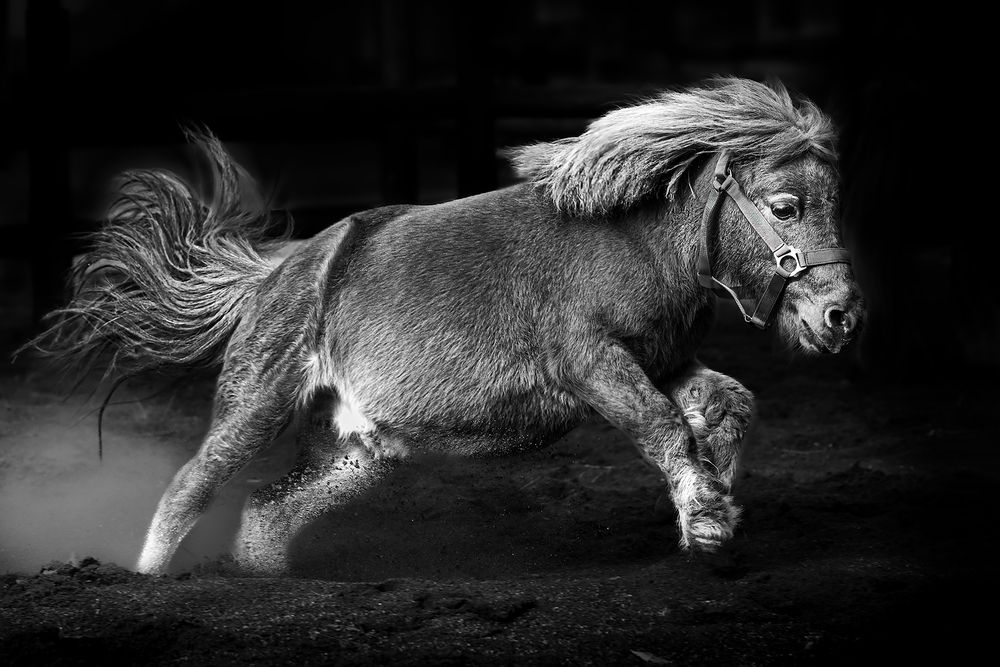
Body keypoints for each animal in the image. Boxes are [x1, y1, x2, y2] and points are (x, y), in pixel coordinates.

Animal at [27, 77, 864, 575]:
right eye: (787, 205)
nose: (842, 315)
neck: (635, 241)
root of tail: (280, 271)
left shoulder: (661, 363)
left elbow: (728, 403)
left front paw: (712, 504)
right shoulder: (597, 366)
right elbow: (662, 426)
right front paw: (709, 520)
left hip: (359, 448)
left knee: (267, 511)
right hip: (256, 406)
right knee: (189, 488)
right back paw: (148, 578)